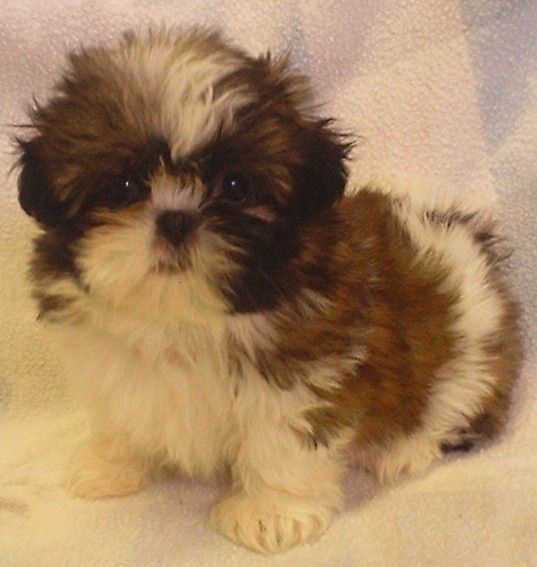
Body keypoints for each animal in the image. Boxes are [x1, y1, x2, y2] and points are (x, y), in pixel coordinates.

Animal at [15, 27, 520, 556]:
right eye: (125, 184)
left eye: (236, 187)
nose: (175, 219)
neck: (184, 320)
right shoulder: (112, 366)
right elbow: (122, 416)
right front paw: (109, 467)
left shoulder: (306, 373)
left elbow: (279, 442)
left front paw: (271, 511)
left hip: (471, 362)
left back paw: (403, 448)